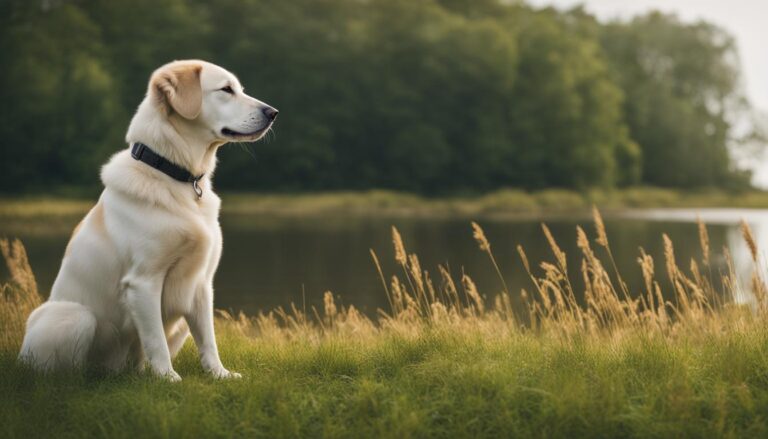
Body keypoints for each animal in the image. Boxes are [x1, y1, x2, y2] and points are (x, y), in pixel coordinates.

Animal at [18, 59, 278, 382]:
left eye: (239, 88)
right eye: (226, 89)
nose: (273, 112)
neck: (175, 175)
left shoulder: (201, 283)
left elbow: (208, 339)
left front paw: (220, 375)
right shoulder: (144, 281)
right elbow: (155, 339)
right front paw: (169, 379)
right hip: (75, 316)